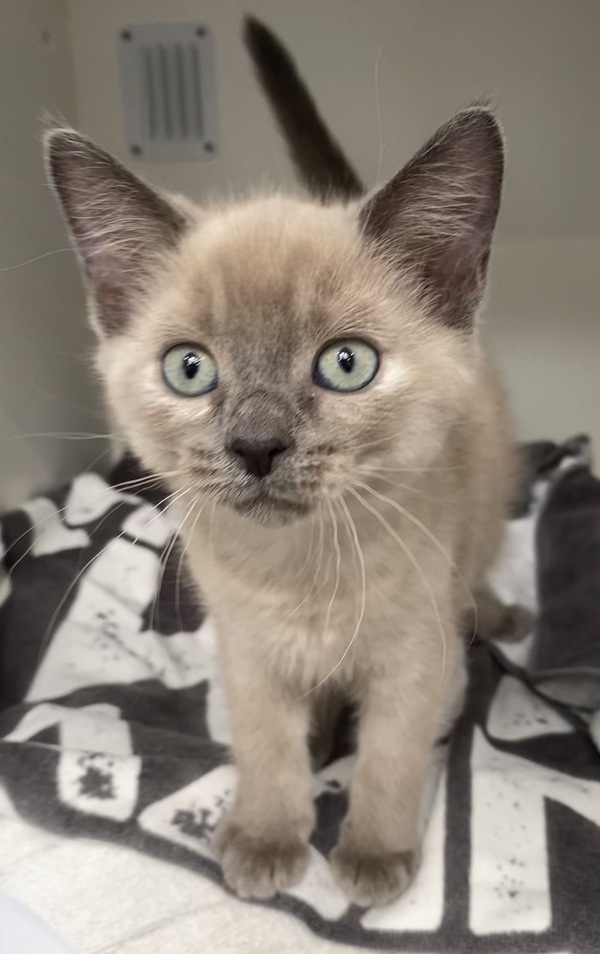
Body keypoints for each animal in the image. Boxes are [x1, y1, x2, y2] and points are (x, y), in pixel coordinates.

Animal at [45, 26, 513, 906]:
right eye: (190, 370)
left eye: (346, 365)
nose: (257, 445)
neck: (302, 576)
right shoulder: (248, 652)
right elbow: (266, 749)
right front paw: (265, 840)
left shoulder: (416, 657)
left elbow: (392, 757)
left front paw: (373, 858)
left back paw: (500, 617)